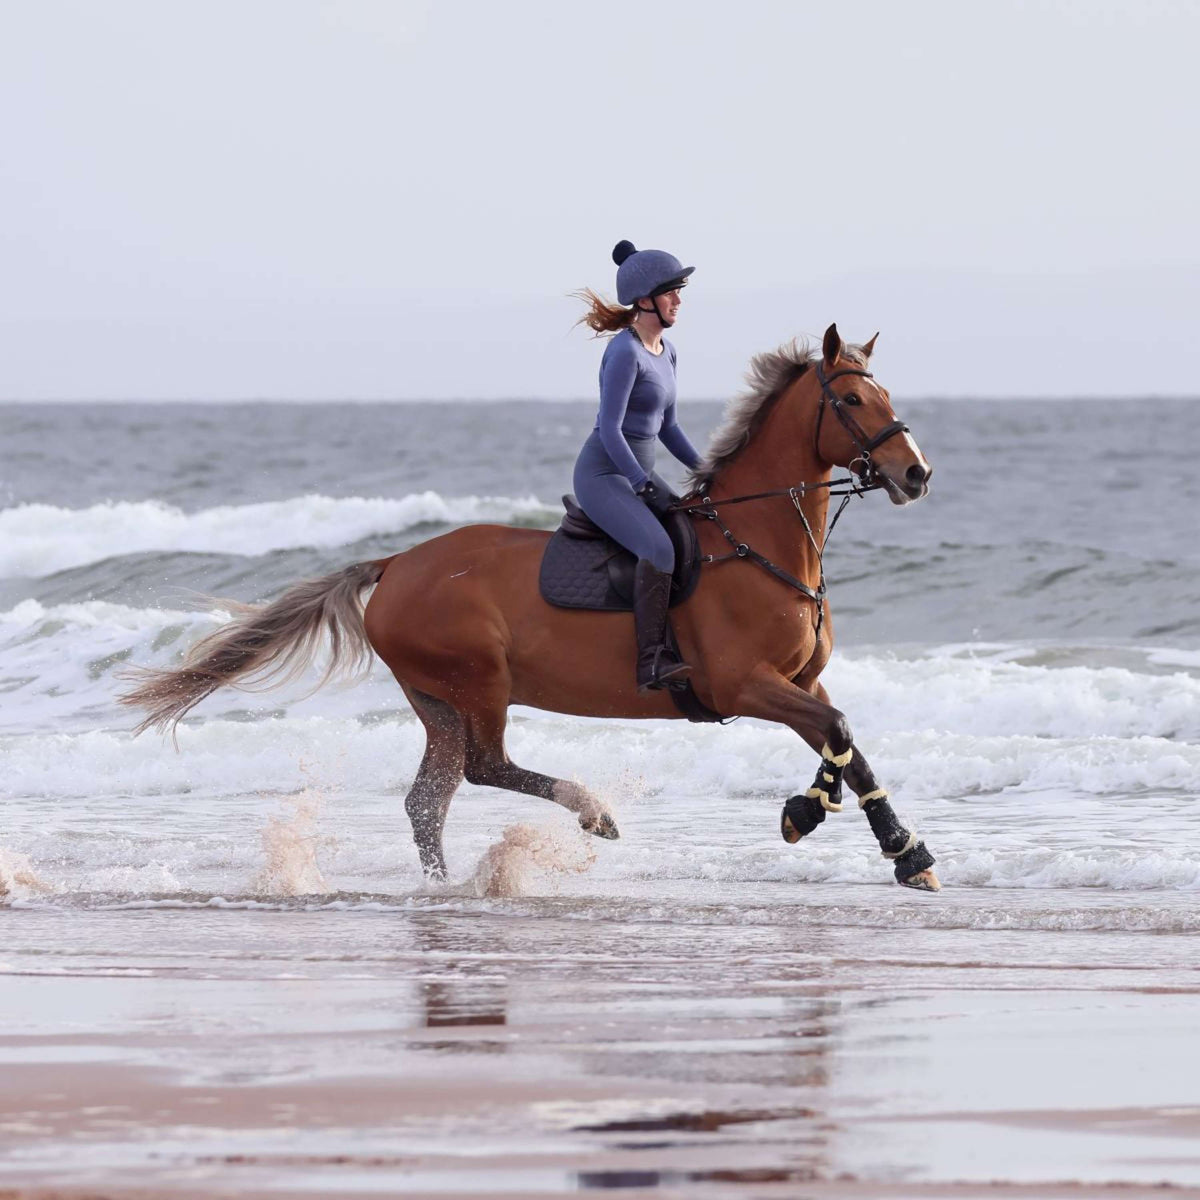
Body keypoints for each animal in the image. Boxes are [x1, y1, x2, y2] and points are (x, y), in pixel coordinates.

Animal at [126, 326, 940, 892]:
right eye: (853, 400)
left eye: (888, 397)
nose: (916, 474)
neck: (755, 542)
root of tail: (395, 564)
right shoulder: (743, 685)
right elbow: (839, 731)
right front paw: (841, 825)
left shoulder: (797, 682)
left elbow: (842, 741)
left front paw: (878, 841)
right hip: (478, 682)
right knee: (486, 767)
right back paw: (592, 812)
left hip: (438, 701)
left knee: (428, 800)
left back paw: (444, 888)